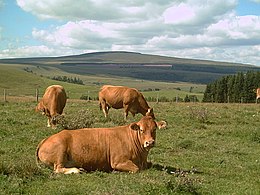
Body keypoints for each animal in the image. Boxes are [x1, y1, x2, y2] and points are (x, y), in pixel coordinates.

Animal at [36, 116, 167, 174]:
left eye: (154, 129)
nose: (150, 142)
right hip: (60, 151)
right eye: (141, 130)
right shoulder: (118, 161)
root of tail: (46, 139)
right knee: (58, 169)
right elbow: (136, 169)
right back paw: (76, 170)